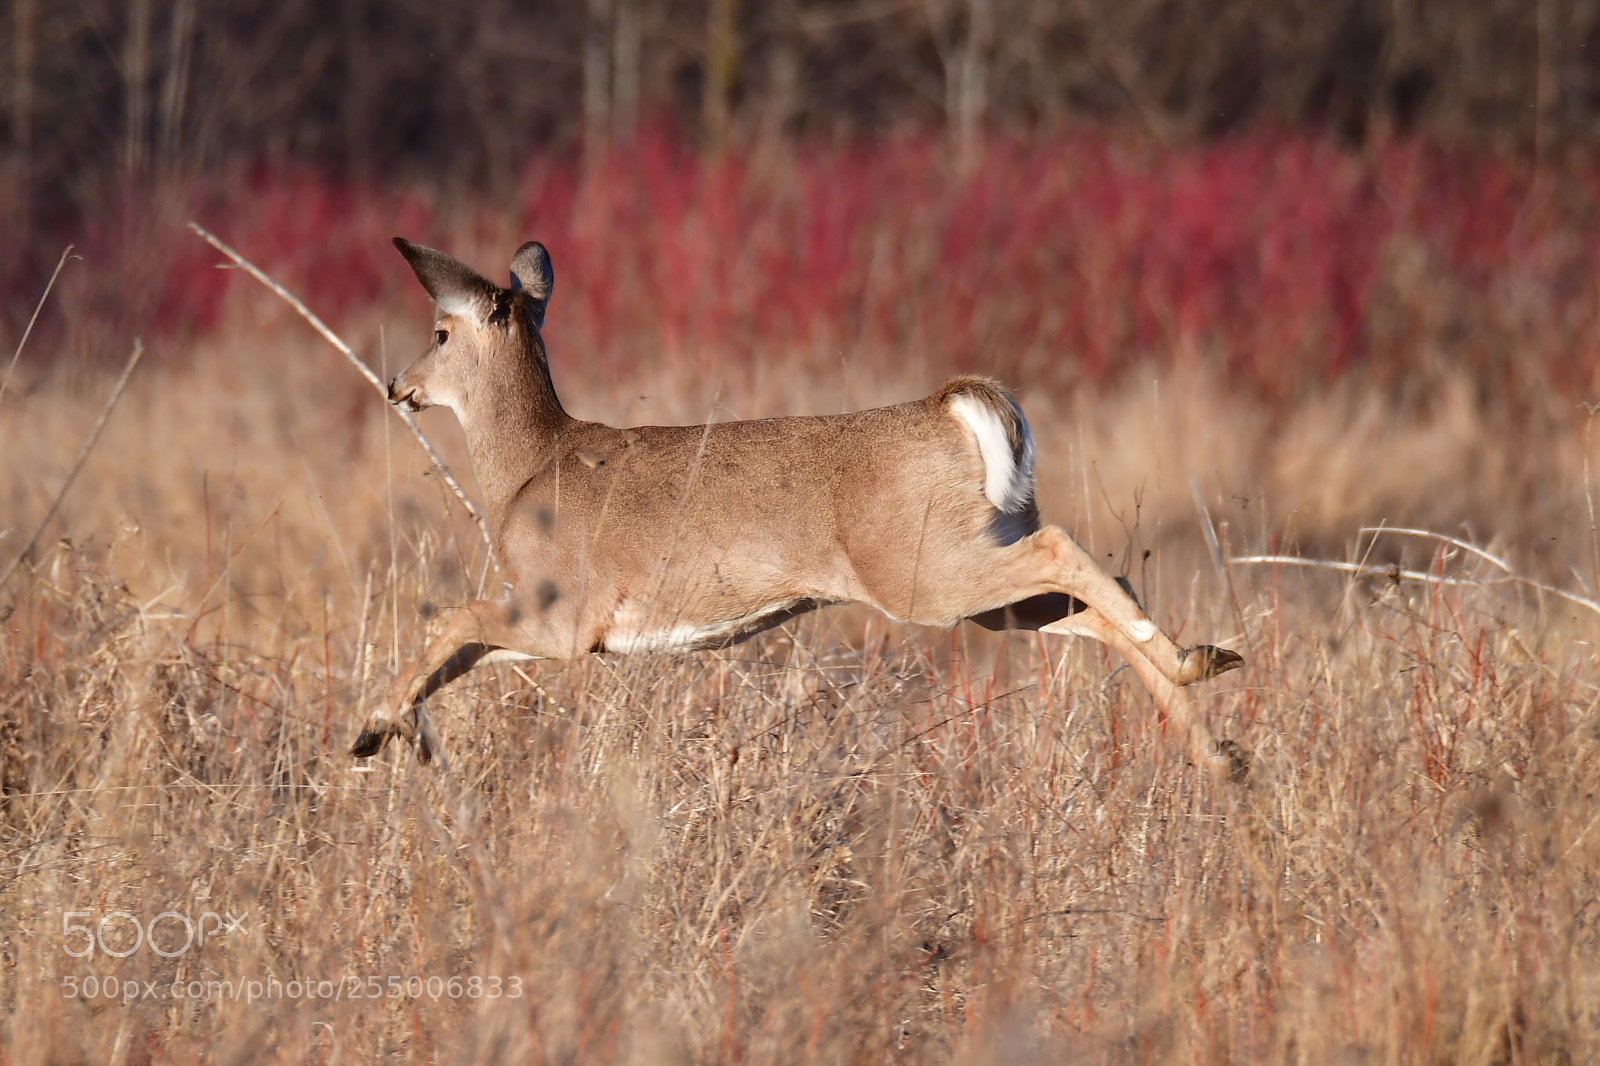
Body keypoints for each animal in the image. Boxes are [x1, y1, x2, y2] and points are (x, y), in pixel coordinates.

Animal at [351, 238, 1247, 779]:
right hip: (978, 576)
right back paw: (1215, 730)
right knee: (1096, 594)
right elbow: (462, 653)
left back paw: (1201, 679)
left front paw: (370, 726)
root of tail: (953, 407)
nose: (397, 385)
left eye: (439, 333)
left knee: (1066, 549)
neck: (528, 472)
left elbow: (455, 621)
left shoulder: (567, 613)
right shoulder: (564, 628)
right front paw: (393, 731)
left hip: (921, 572)